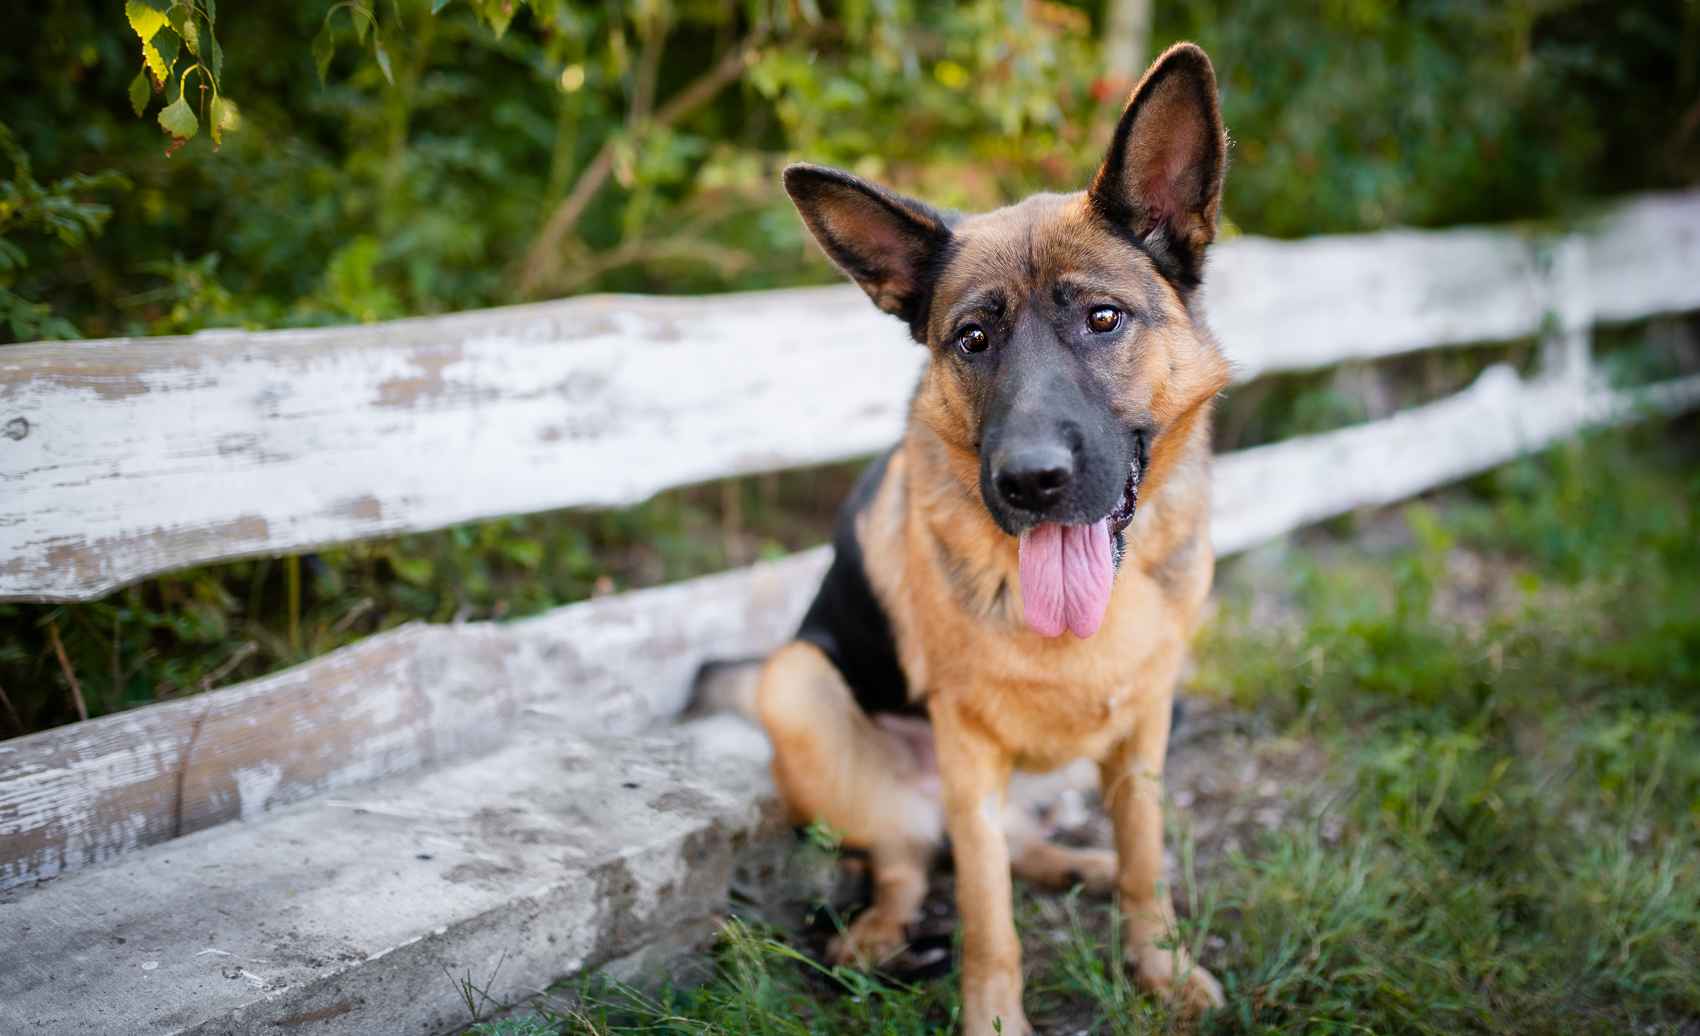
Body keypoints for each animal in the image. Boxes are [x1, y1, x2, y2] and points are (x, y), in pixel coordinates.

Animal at [765, 42, 1230, 1034]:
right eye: (973, 339)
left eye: (1103, 319)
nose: (1030, 481)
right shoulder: (968, 754)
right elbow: (986, 909)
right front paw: (992, 1015)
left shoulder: (1146, 726)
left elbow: (1145, 856)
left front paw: (1160, 965)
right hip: (796, 686)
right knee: (908, 864)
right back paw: (877, 936)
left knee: (1030, 847)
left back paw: (1082, 867)